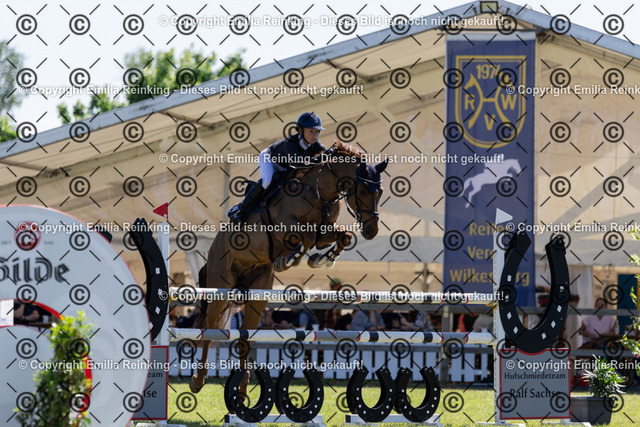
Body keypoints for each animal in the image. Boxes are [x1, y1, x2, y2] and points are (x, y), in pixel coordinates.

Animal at [188, 141, 387, 395]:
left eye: (379, 192)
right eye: (362, 191)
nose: (372, 231)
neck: (320, 191)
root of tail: (212, 252)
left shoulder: (324, 231)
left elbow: (342, 236)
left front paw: (322, 259)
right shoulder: (284, 226)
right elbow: (307, 237)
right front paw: (291, 259)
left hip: (257, 294)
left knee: (244, 337)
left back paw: (242, 389)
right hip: (219, 286)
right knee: (209, 327)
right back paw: (198, 380)